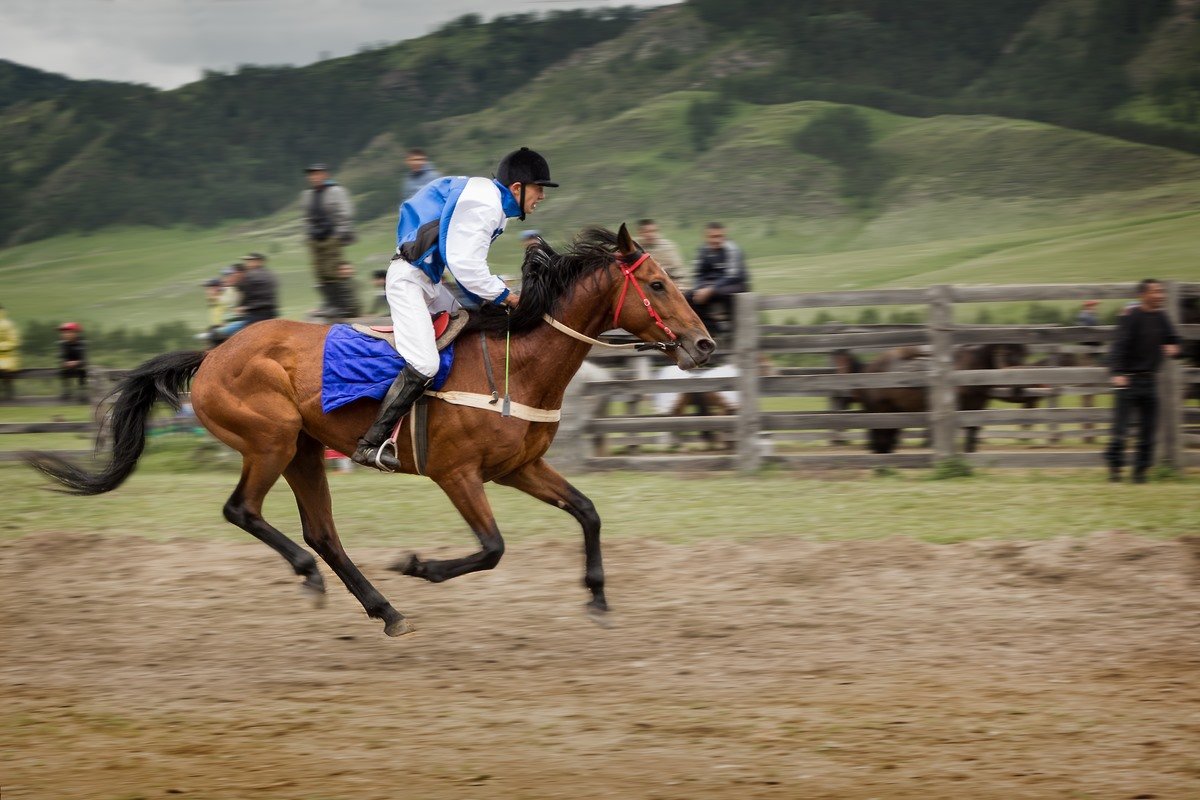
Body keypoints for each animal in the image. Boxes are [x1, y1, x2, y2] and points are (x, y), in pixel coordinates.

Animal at [28, 225, 715, 638]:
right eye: (658, 284)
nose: (704, 344)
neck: (518, 362)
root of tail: (214, 354)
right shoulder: (457, 474)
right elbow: (492, 548)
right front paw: (420, 565)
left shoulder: (519, 468)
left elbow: (588, 510)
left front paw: (597, 597)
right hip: (271, 441)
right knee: (244, 510)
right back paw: (315, 576)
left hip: (304, 450)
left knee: (322, 532)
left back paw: (383, 609)